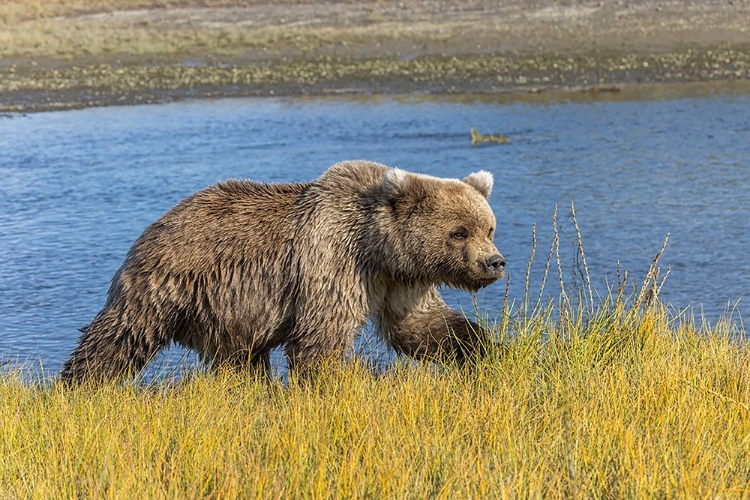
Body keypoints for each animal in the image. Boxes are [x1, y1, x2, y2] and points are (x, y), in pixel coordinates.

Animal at [58, 160, 506, 382]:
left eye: (488, 228)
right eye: (458, 232)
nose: (494, 262)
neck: (379, 250)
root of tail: (156, 224)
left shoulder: (398, 282)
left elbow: (419, 326)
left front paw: (484, 349)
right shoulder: (335, 264)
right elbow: (321, 338)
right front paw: (332, 386)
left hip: (227, 313)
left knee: (239, 359)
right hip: (168, 281)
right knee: (120, 337)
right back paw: (79, 385)